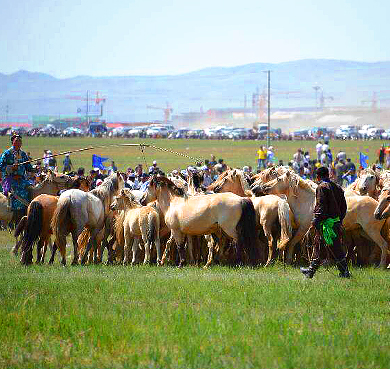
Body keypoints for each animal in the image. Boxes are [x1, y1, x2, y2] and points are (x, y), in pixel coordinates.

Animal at [253, 170, 390, 268]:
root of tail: (378, 207)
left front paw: (288, 260)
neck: (307, 202)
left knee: (383, 245)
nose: (264, 187)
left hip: (371, 231)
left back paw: (381, 266)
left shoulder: (304, 229)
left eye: (279, 179)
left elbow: (292, 242)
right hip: (363, 231)